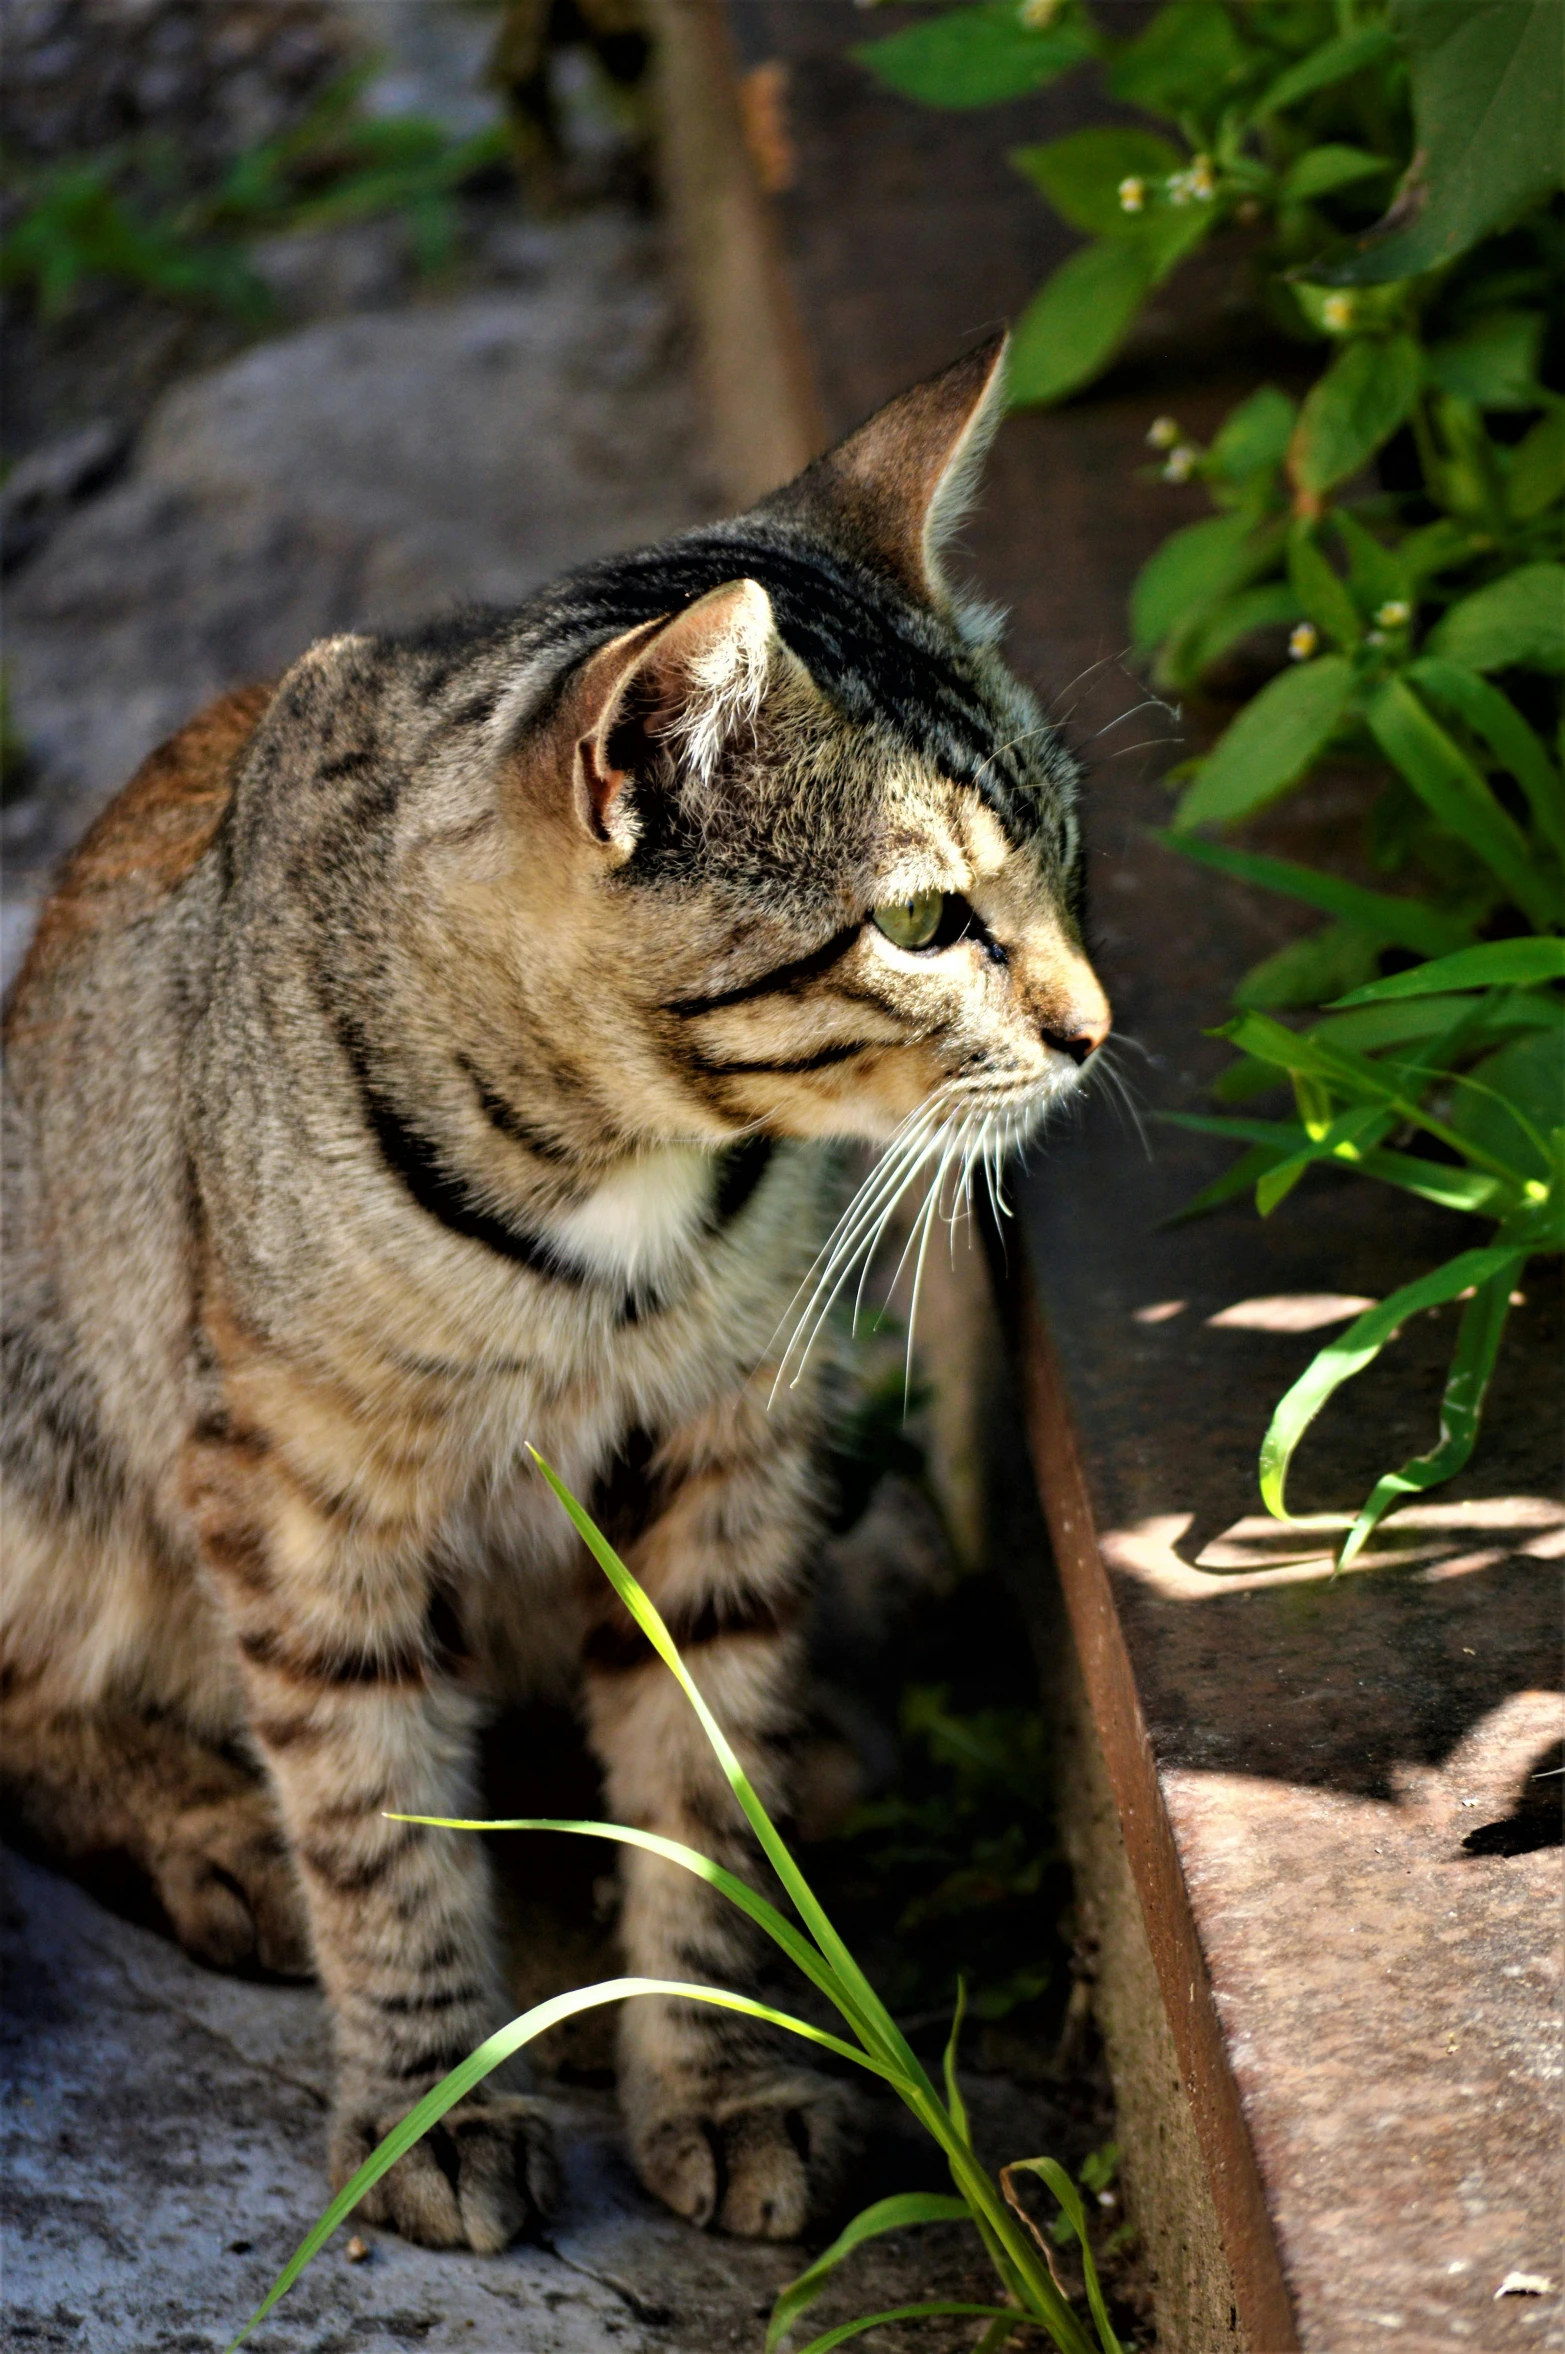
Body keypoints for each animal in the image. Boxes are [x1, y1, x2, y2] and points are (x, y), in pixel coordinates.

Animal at [0, 341, 1106, 2250]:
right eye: (921, 920)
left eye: (1061, 843)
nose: (1092, 1025)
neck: (625, 1179)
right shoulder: (296, 1489)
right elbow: (375, 1816)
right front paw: (425, 2099)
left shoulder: (737, 1451)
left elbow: (700, 1783)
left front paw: (722, 2059)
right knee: (30, 1702)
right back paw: (211, 1829)